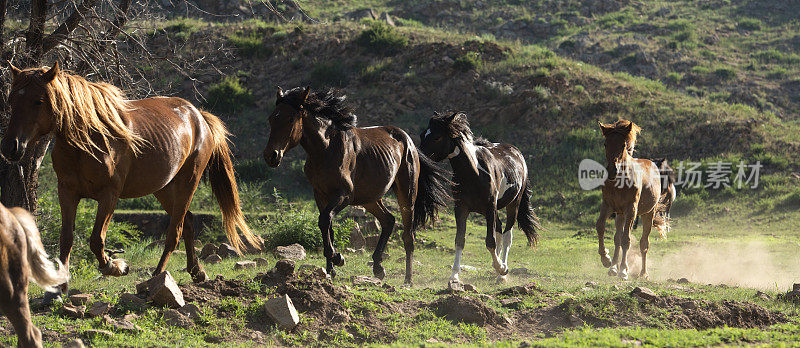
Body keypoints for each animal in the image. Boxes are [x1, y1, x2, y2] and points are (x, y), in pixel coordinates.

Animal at [0, 63, 262, 300]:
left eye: (38, 101)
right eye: (11, 100)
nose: (11, 147)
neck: (89, 139)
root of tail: (198, 116)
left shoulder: (109, 195)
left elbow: (96, 240)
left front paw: (116, 266)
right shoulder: (67, 193)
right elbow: (66, 239)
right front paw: (57, 291)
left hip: (188, 182)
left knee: (174, 231)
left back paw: (157, 278)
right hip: (164, 189)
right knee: (186, 222)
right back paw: (196, 272)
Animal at [262, 86, 450, 282]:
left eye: (290, 119)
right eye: (271, 118)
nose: (271, 156)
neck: (325, 149)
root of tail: (409, 141)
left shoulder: (344, 195)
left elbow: (325, 220)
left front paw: (337, 258)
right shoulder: (320, 194)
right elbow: (327, 225)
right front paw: (330, 269)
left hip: (406, 194)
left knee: (408, 236)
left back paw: (408, 279)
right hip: (370, 199)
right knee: (388, 220)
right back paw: (378, 267)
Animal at [418, 111, 544, 282]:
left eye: (437, 137)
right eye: (422, 134)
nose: (418, 157)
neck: (474, 173)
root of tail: (516, 151)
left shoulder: (490, 207)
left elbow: (490, 241)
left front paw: (502, 268)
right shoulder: (461, 208)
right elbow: (460, 240)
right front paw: (455, 275)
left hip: (513, 204)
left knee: (507, 235)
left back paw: (502, 272)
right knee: (499, 230)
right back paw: (497, 269)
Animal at [592, 119, 668, 280]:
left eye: (623, 145)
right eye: (605, 144)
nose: (612, 170)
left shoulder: (631, 209)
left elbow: (626, 239)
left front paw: (623, 271)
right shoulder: (607, 205)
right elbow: (600, 227)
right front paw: (606, 259)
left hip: (648, 213)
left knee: (644, 244)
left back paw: (643, 273)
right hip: (620, 215)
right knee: (617, 239)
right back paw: (613, 268)